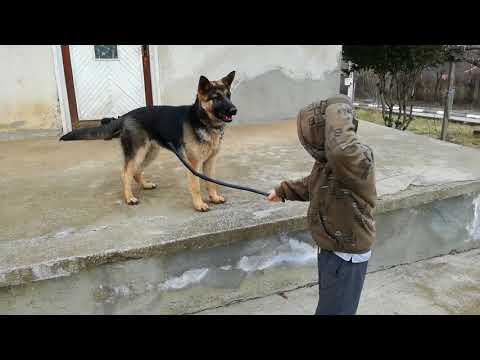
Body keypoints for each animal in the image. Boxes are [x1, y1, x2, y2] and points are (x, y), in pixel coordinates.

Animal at [61, 71, 237, 211]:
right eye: (216, 97)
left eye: (228, 96)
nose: (234, 110)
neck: (202, 120)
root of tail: (125, 116)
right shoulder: (193, 165)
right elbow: (196, 186)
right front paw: (199, 205)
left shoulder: (210, 162)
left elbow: (211, 182)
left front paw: (214, 198)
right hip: (139, 152)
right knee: (126, 173)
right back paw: (129, 198)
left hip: (150, 152)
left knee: (136, 171)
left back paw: (145, 185)